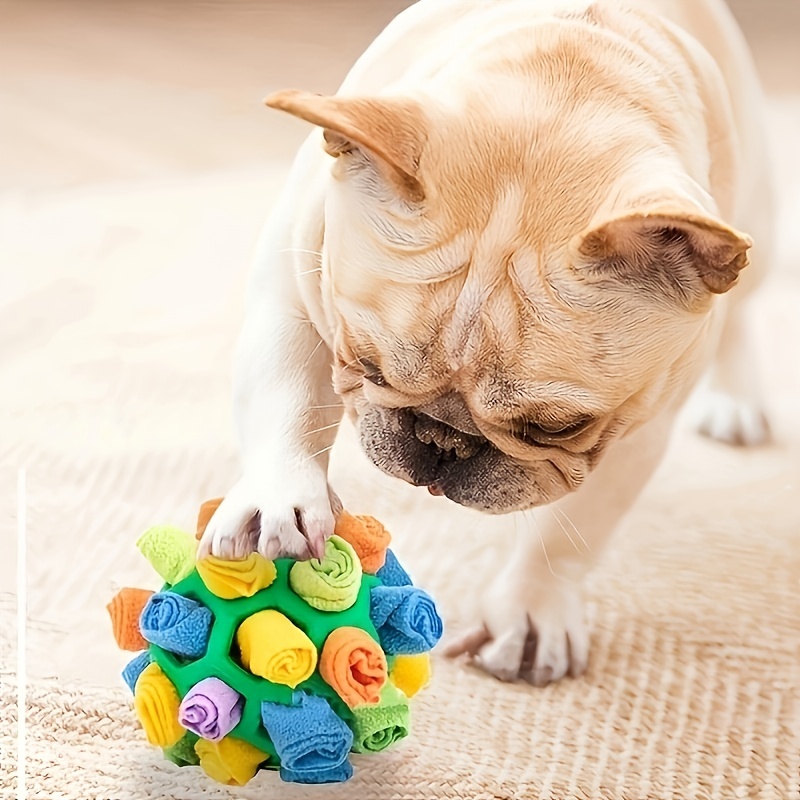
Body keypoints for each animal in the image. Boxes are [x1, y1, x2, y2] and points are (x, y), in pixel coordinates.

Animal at [198, 0, 776, 684]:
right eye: (366, 363)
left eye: (554, 428)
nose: (442, 440)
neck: (571, 76)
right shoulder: (295, 292)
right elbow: (283, 403)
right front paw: (280, 501)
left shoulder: (633, 431)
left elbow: (571, 527)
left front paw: (531, 611)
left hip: (756, 234)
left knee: (742, 309)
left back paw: (738, 400)